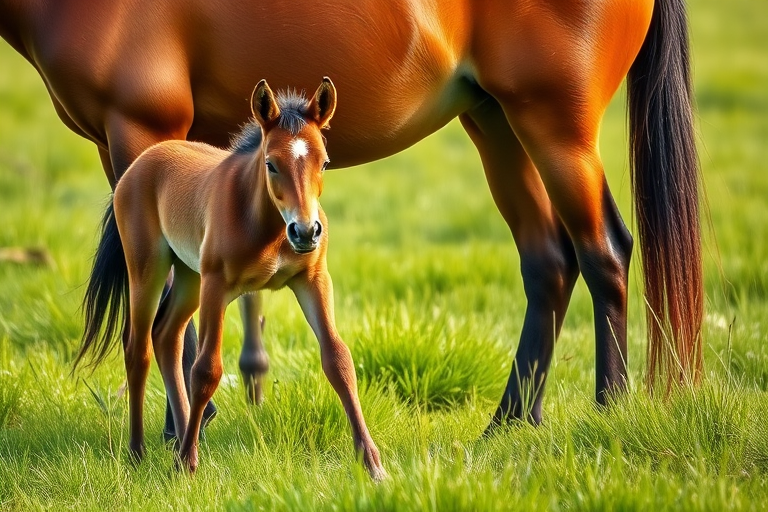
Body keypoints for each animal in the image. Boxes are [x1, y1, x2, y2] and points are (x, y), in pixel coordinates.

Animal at [0, 0, 702, 433]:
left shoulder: (142, 127)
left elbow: (171, 295)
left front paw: (179, 429)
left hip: (555, 125)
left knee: (604, 250)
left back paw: (607, 411)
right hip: (496, 120)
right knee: (549, 262)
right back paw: (506, 427)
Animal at [73, 78, 384, 477]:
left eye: (325, 163)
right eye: (271, 163)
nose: (305, 232)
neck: (266, 227)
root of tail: (142, 161)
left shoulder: (313, 279)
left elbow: (338, 359)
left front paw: (373, 464)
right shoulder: (217, 285)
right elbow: (206, 369)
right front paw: (187, 465)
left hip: (189, 275)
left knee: (167, 336)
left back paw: (178, 439)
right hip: (149, 268)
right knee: (137, 347)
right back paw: (138, 452)